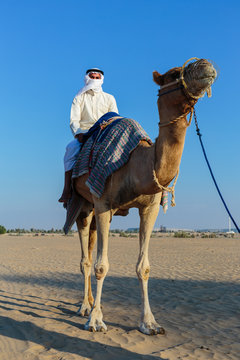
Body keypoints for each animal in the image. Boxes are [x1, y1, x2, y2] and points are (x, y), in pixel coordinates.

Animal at [71, 58, 218, 334]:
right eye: (174, 74)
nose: (207, 64)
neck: (137, 163)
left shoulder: (149, 208)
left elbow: (144, 267)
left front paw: (150, 323)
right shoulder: (104, 203)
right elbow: (101, 266)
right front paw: (95, 321)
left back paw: (95, 303)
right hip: (84, 204)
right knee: (85, 257)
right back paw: (85, 307)